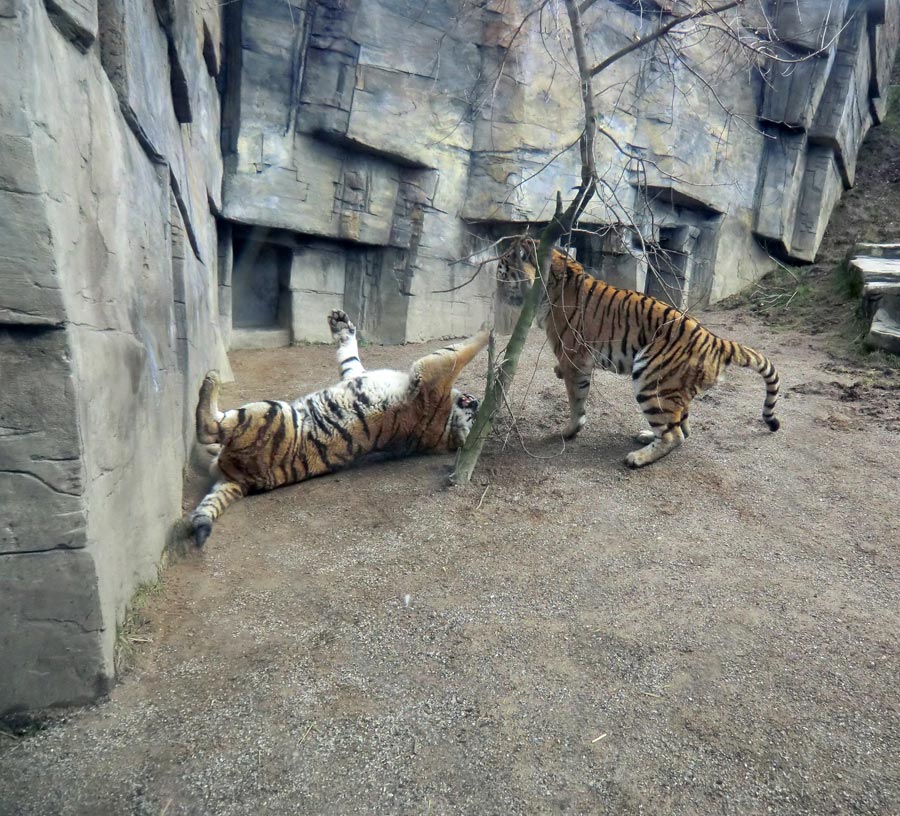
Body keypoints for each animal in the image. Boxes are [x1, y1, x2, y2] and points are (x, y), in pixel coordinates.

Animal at [188, 312, 486, 548]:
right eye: (475, 415)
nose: (478, 402)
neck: (446, 426)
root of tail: (243, 480)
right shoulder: (359, 374)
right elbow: (350, 356)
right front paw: (341, 323)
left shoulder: (432, 372)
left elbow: (461, 351)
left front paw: (489, 327)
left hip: (271, 413)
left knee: (209, 427)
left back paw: (211, 379)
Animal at [496, 237, 776, 466]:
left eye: (502, 271)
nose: (496, 294)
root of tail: (715, 340)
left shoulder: (574, 358)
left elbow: (576, 399)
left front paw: (569, 431)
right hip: (674, 388)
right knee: (681, 427)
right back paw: (646, 436)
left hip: (650, 377)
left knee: (675, 435)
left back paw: (637, 458)